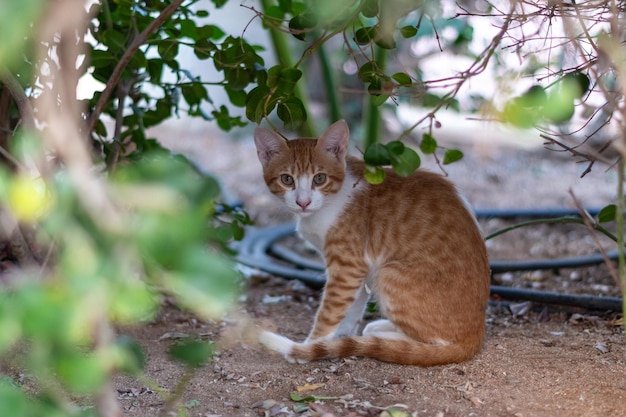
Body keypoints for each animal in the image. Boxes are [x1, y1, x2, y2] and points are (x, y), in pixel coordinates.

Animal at [251, 119, 490, 364]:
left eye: (319, 178)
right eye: (287, 179)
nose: (303, 202)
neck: (328, 203)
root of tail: (475, 335)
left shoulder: (348, 265)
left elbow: (330, 310)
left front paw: (311, 345)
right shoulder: (360, 268)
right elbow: (352, 305)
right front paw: (341, 336)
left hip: (389, 274)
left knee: (435, 342)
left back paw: (387, 338)